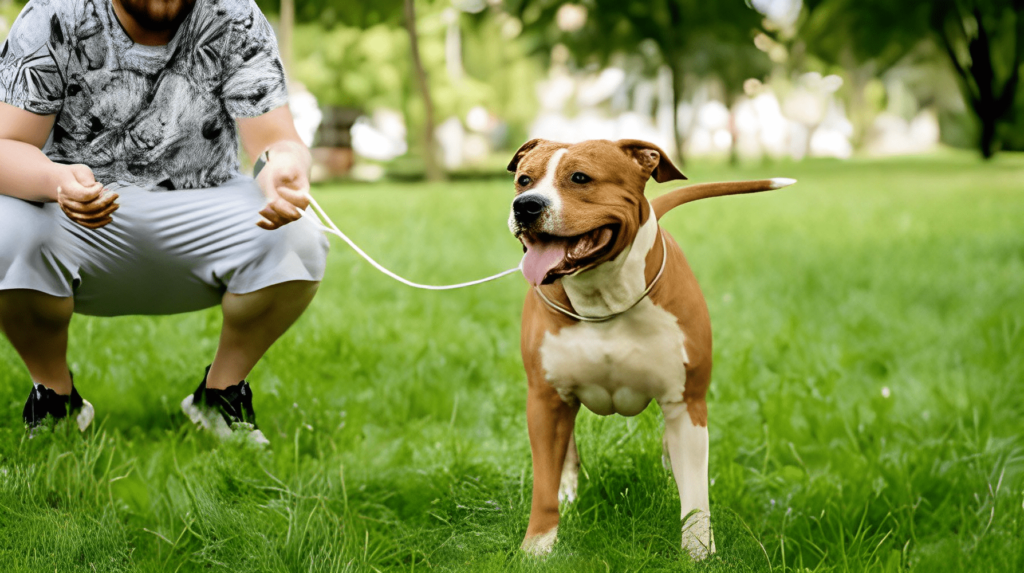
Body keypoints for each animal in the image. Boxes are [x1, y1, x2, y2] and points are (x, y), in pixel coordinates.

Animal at [507, 138, 794, 560]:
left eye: (580, 178)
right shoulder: (545, 400)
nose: (525, 205)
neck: (604, 299)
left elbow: (696, 496)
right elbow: (544, 483)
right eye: (524, 179)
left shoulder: (686, 403)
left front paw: (698, 554)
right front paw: (537, 549)